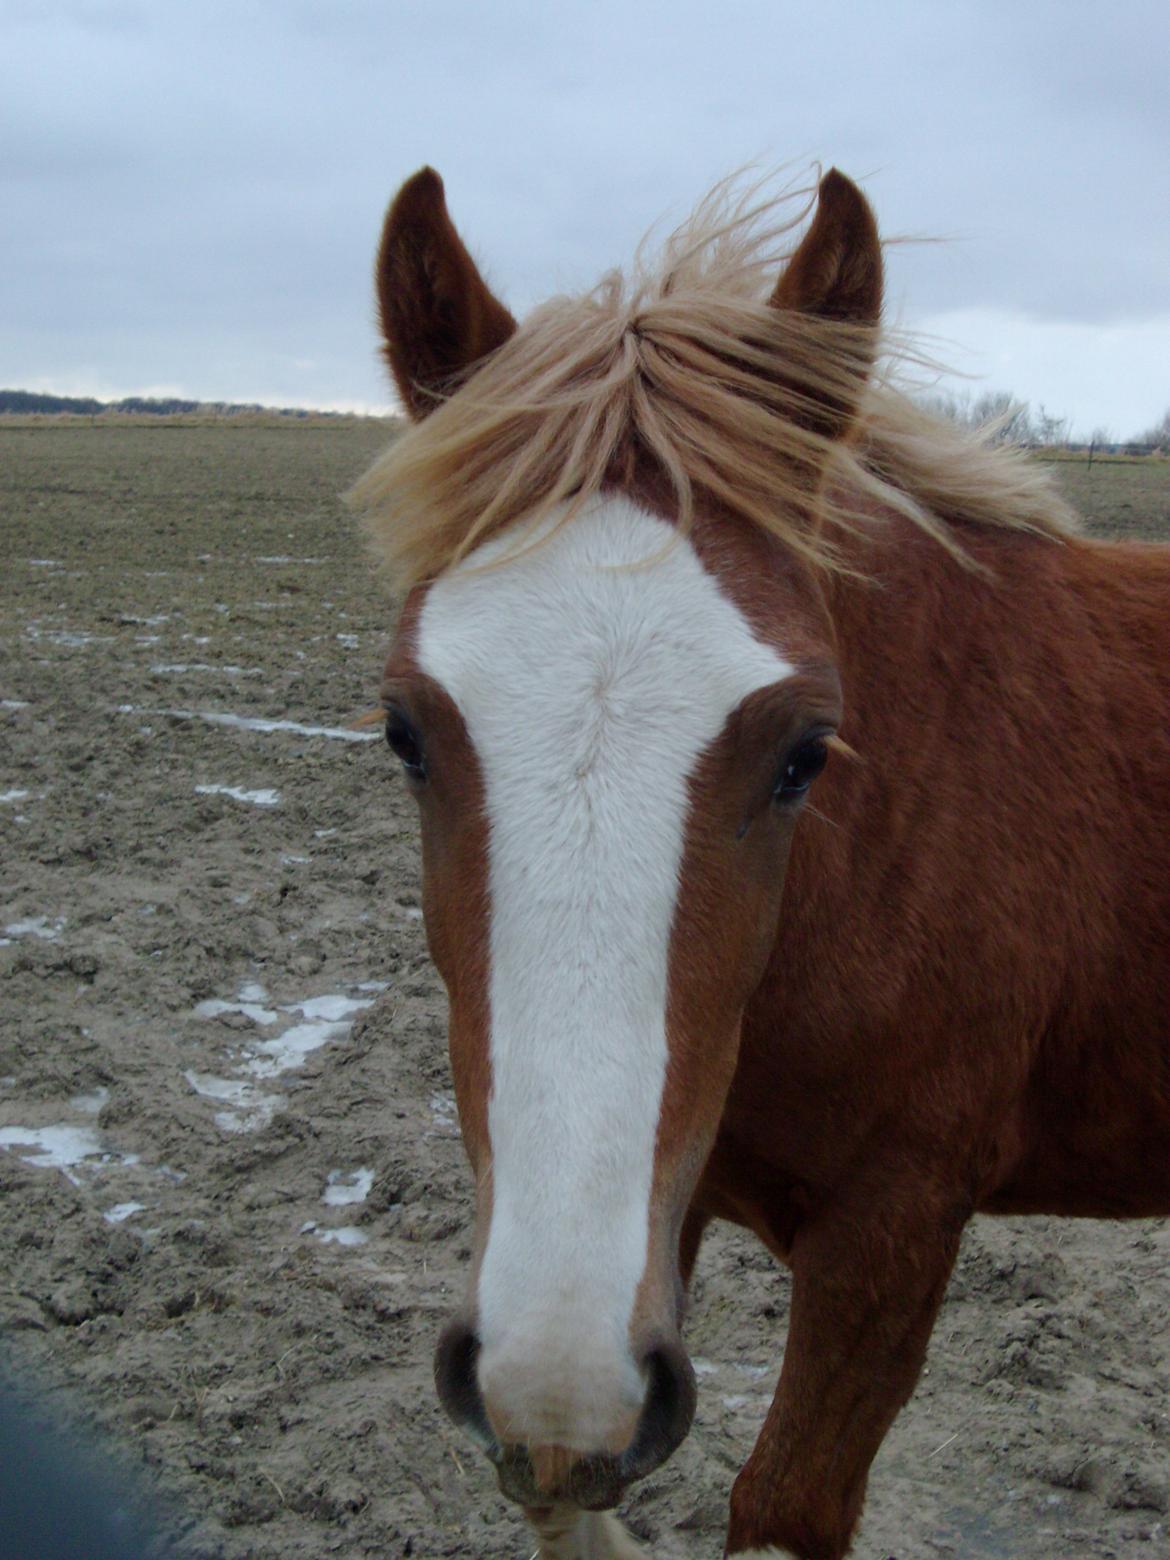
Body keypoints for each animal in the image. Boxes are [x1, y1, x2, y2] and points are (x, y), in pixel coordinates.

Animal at [351, 170, 1170, 1560]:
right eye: (406, 732)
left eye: (804, 753)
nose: (555, 1368)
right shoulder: (639, 1224)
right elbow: (560, 1489)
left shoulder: (893, 1234)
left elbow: (783, 1503)